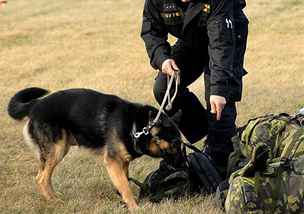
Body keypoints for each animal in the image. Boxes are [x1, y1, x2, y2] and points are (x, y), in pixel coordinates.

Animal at [7, 88, 183, 210]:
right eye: (176, 143)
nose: (184, 164)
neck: (137, 127)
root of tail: (34, 105)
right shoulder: (112, 162)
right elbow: (125, 186)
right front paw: (135, 208)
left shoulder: (123, 162)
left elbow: (123, 182)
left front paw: (125, 202)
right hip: (57, 150)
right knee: (41, 178)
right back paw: (54, 201)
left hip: (59, 150)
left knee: (44, 176)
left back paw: (54, 196)